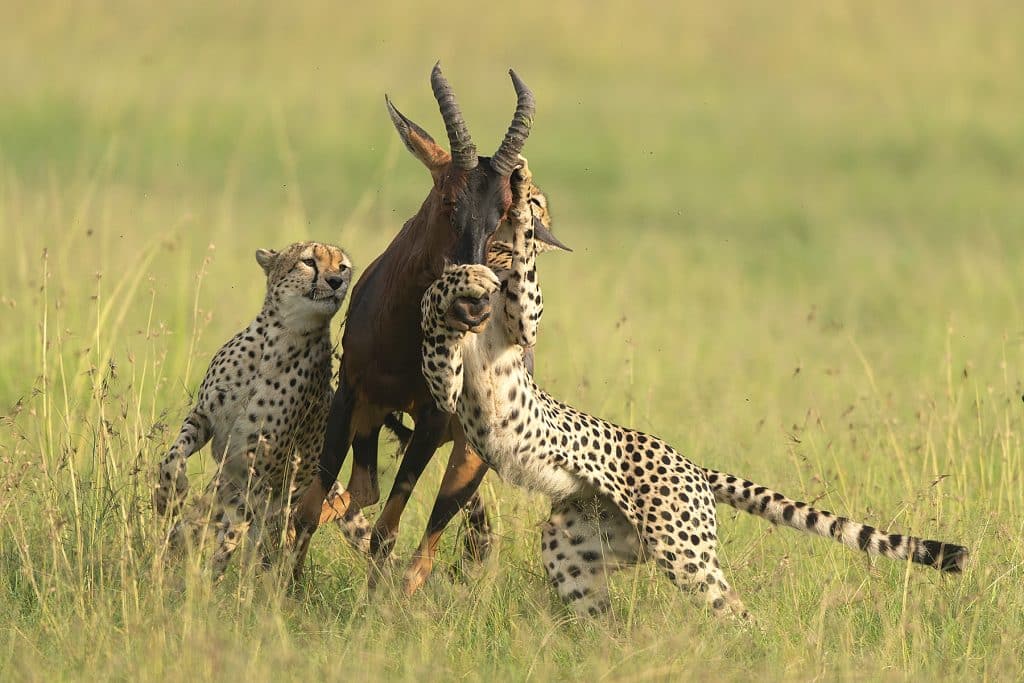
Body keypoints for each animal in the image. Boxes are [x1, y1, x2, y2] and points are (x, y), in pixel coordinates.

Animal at [153, 240, 370, 577]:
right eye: (309, 261)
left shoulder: (260, 474)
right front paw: (169, 494)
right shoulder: (205, 418)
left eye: (342, 267)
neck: (281, 337)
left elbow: (231, 537)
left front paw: (211, 578)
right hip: (226, 488)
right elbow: (173, 455)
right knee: (196, 525)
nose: (336, 281)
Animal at [292, 63, 569, 593]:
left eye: (506, 212)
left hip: (469, 456)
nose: (473, 308)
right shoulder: (351, 394)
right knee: (359, 495)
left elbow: (389, 531)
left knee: (423, 549)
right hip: (373, 419)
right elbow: (311, 507)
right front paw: (279, 585)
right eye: (446, 199)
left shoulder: (433, 421)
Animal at [415, 163, 966, 618]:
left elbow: (519, 277)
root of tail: (694, 465)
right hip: (576, 548)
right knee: (601, 614)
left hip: (684, 554)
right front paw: (459, 281)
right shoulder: (448, 386)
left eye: (533, 203)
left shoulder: (525, 324)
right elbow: (437, 322)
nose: (516, 191)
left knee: (739, 613)